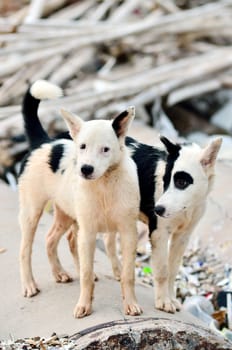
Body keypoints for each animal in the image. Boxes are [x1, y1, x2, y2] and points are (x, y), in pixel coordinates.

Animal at [18, 80, 141, 318]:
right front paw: (84, 305)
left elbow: (128, 274)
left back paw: (59, 272)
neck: (104, 185)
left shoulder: (128, 233)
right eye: (82, 146)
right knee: (25, 249)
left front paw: (130, 303)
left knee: (50, 239)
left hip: (65, 213)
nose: (85, 169)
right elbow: (85, 273)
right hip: (31, 211)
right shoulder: (88, 232)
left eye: (105, 149)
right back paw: (28, 285)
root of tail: (43, 142)